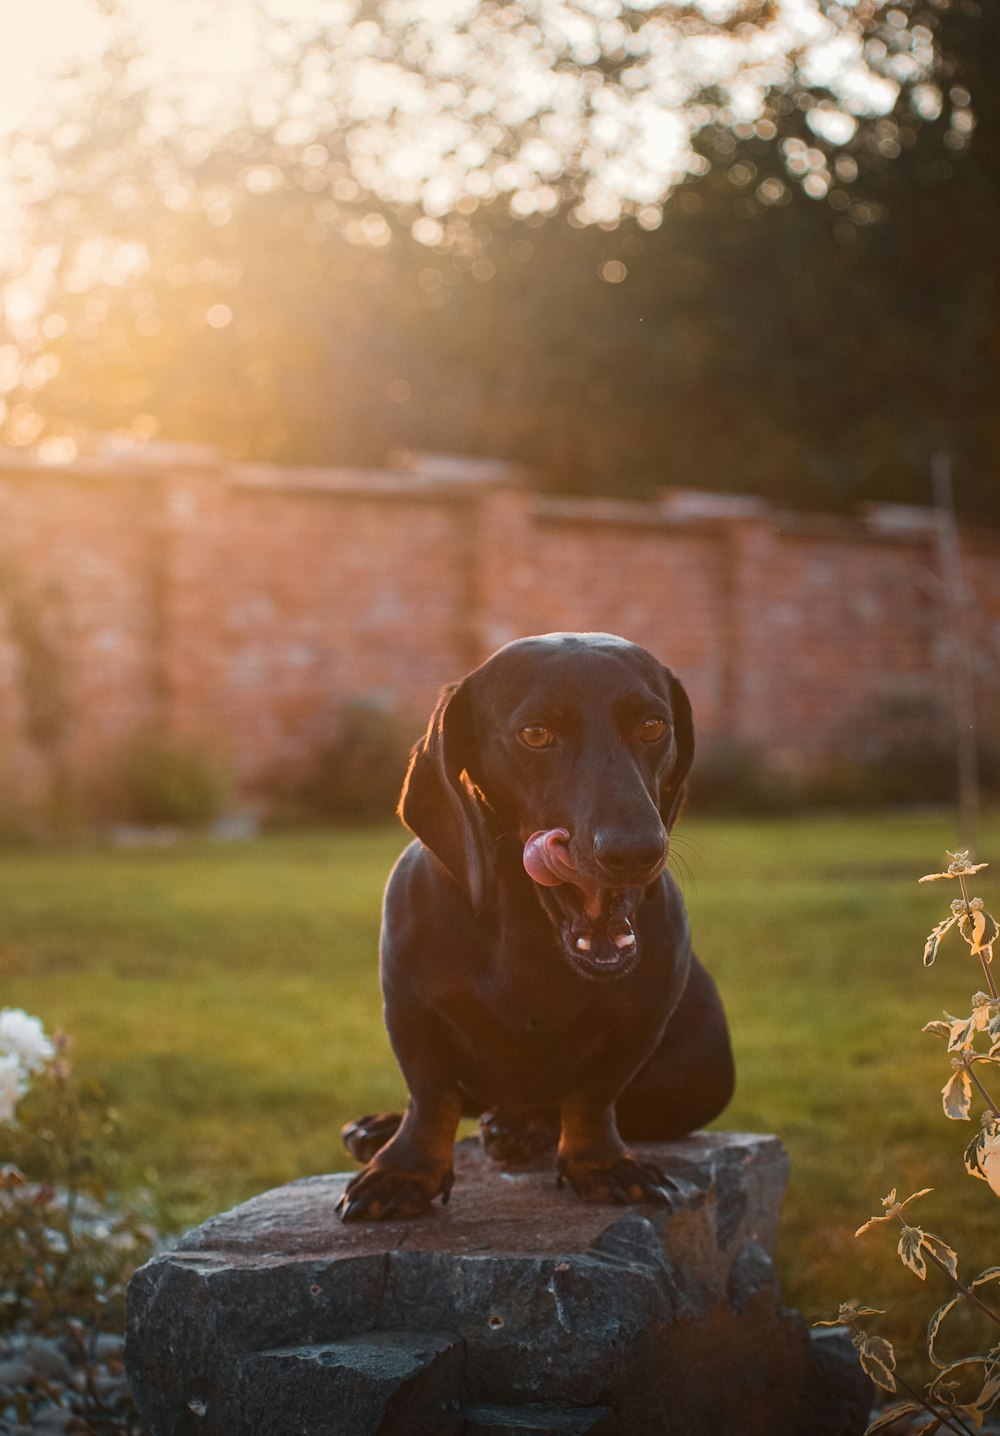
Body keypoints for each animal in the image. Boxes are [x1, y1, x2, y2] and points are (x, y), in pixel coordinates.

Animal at [337, 634, 735, 1217]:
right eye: (535, 734)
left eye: (653, 725)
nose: (637, 851)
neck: (530, 935)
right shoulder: (408, 1006)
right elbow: (430, 1096)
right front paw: (405, 1169)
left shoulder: (640, 1021)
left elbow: (593, 1098)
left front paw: (599, 1161)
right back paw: (387, 1127)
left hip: (703, 1078)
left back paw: (521, 1125)